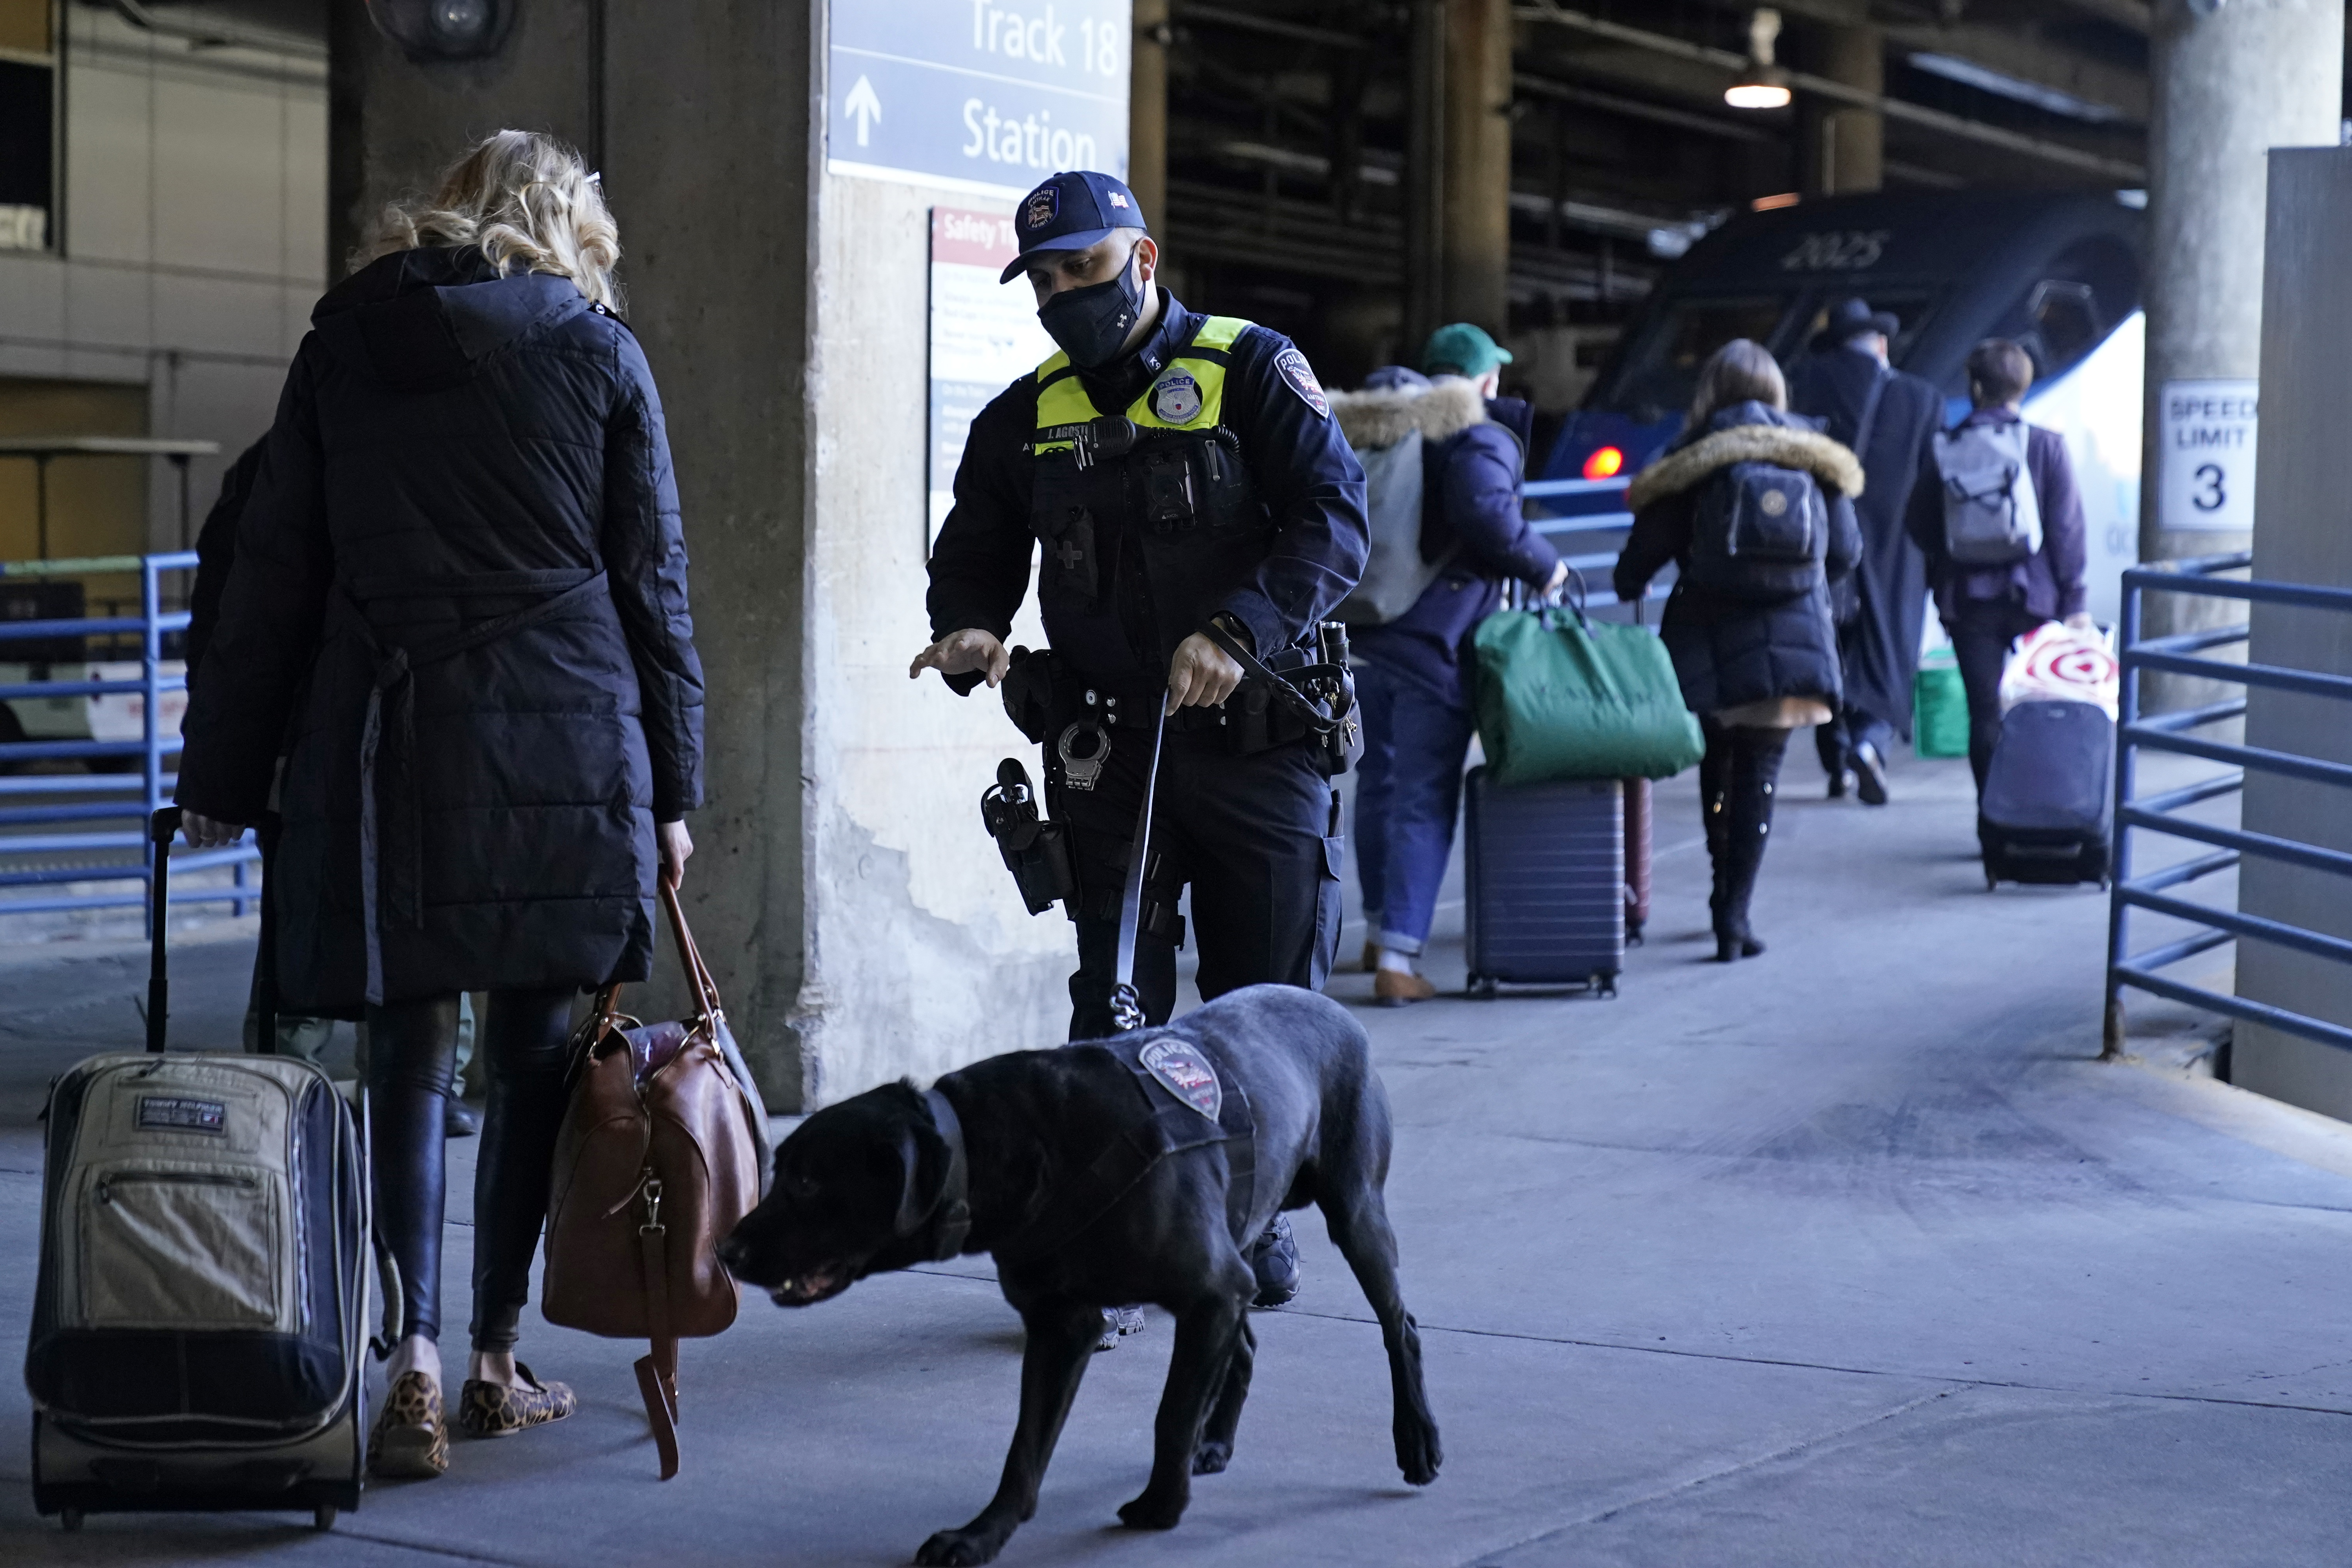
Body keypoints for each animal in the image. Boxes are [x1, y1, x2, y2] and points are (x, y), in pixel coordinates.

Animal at [715, 987, 1439, 1561]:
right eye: (780, 1172)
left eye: (807, 1184)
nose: (724, 1249)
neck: (1002, 1149)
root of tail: (1331, 1004)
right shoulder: (1065, 1324)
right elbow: (1026, 1447)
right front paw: (982, 1535)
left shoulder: (1207, 1291)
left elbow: (1170, 1412)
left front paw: (1161, 1504)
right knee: (1248, 1342)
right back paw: (1216, 1443)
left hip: (1354, 1210)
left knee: (1398, 1325)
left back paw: (1417, 1441)